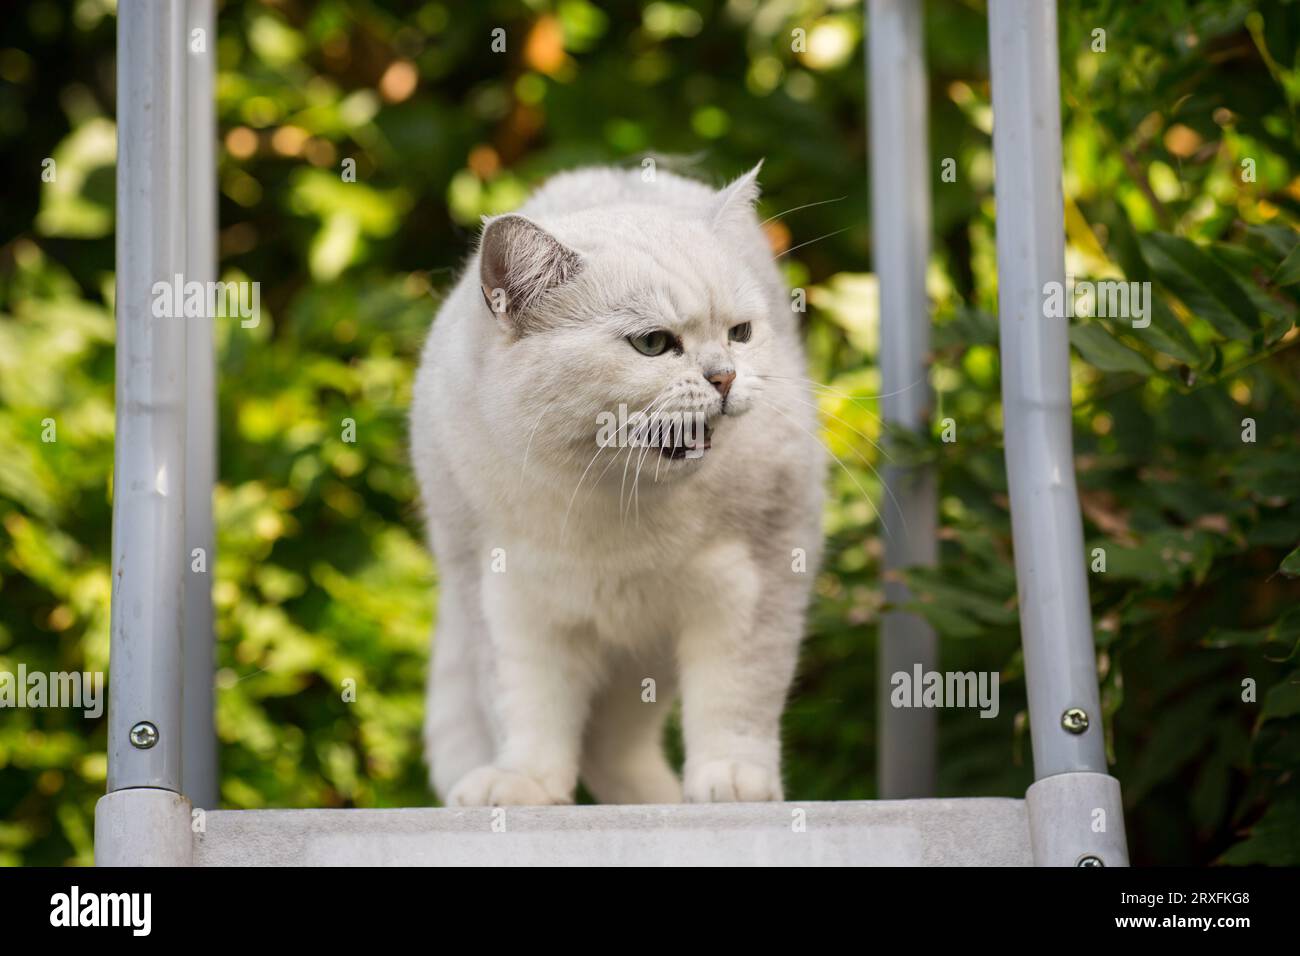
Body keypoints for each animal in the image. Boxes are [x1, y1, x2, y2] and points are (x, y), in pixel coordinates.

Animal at [410, 164, 826, 806]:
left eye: (740, 333)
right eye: (652, 343)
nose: (725, 377)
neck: (614, 499)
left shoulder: (758, 578)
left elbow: (738, 696)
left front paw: (732, 780)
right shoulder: (503, 598)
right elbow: (525, 707)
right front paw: (524, 783)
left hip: (645, 656)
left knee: (616, 747)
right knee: (604, 747)